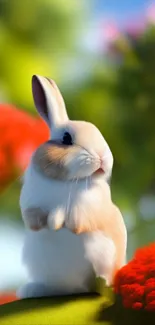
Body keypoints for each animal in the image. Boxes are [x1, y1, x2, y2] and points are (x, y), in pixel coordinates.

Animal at [16, 74, 127, 298]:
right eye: (66, 139)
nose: (103, 158)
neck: (66, 181)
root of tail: (73, 289)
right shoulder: (30, 204)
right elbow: (35, 218)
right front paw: (49, 224)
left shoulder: (90, 208)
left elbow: (76, 219)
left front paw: (58, 222)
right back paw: (33, 290)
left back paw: (102, 284)